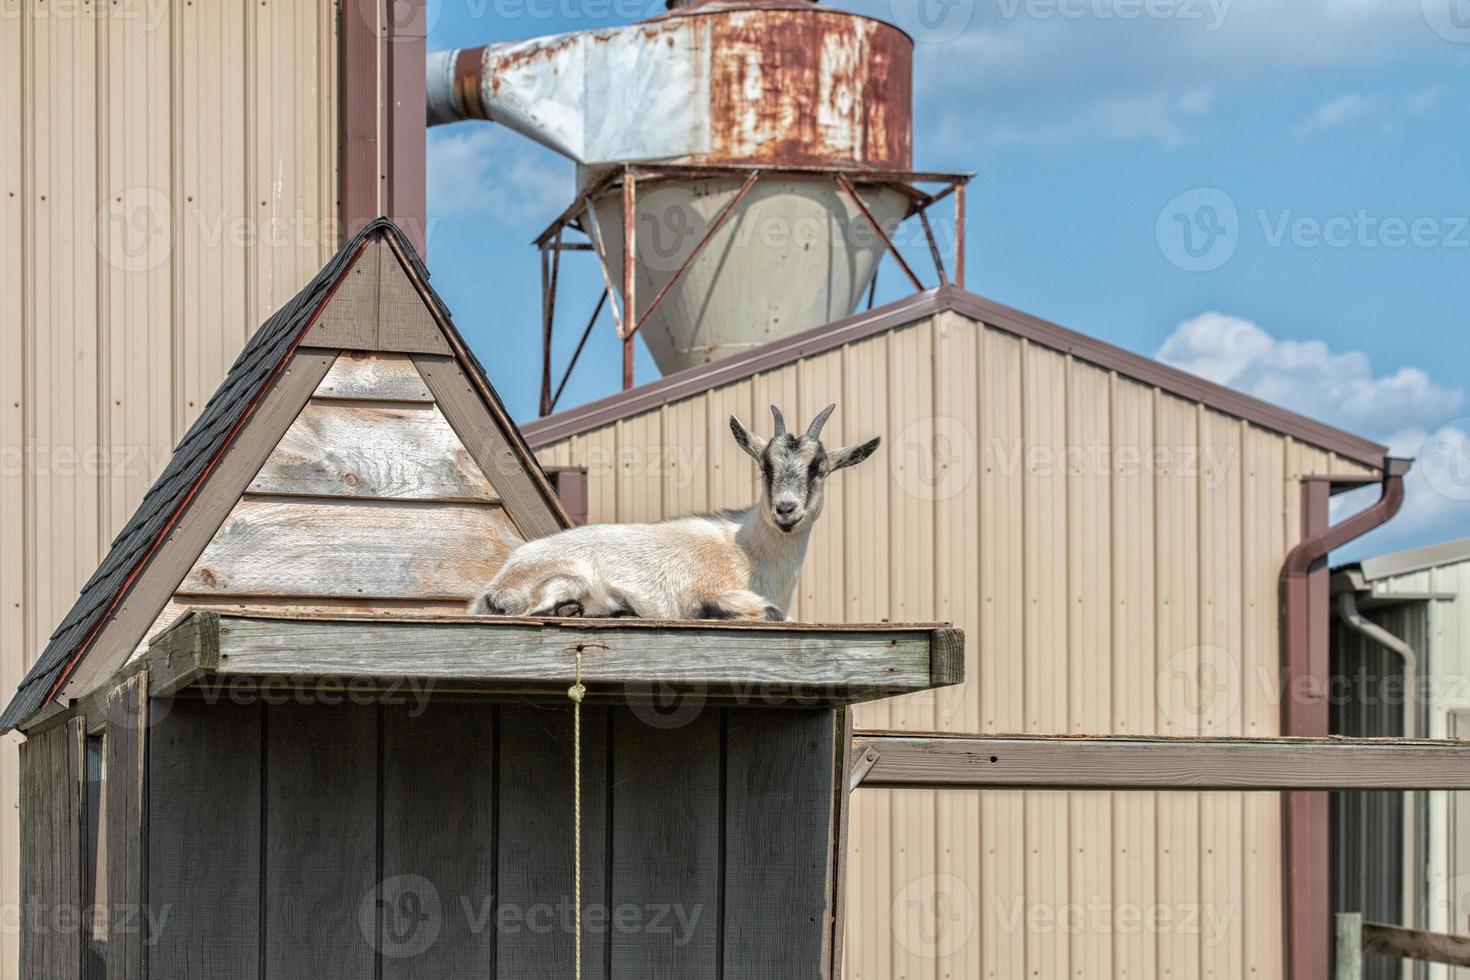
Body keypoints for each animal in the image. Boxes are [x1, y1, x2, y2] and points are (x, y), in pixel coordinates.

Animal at [470, 405, 876, 620]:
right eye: (766, 467)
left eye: (818, 469)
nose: (786, 509)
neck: (748, 550)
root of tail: (497, 584)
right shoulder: (707, 591)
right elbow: (773, 613)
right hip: (567, 577)